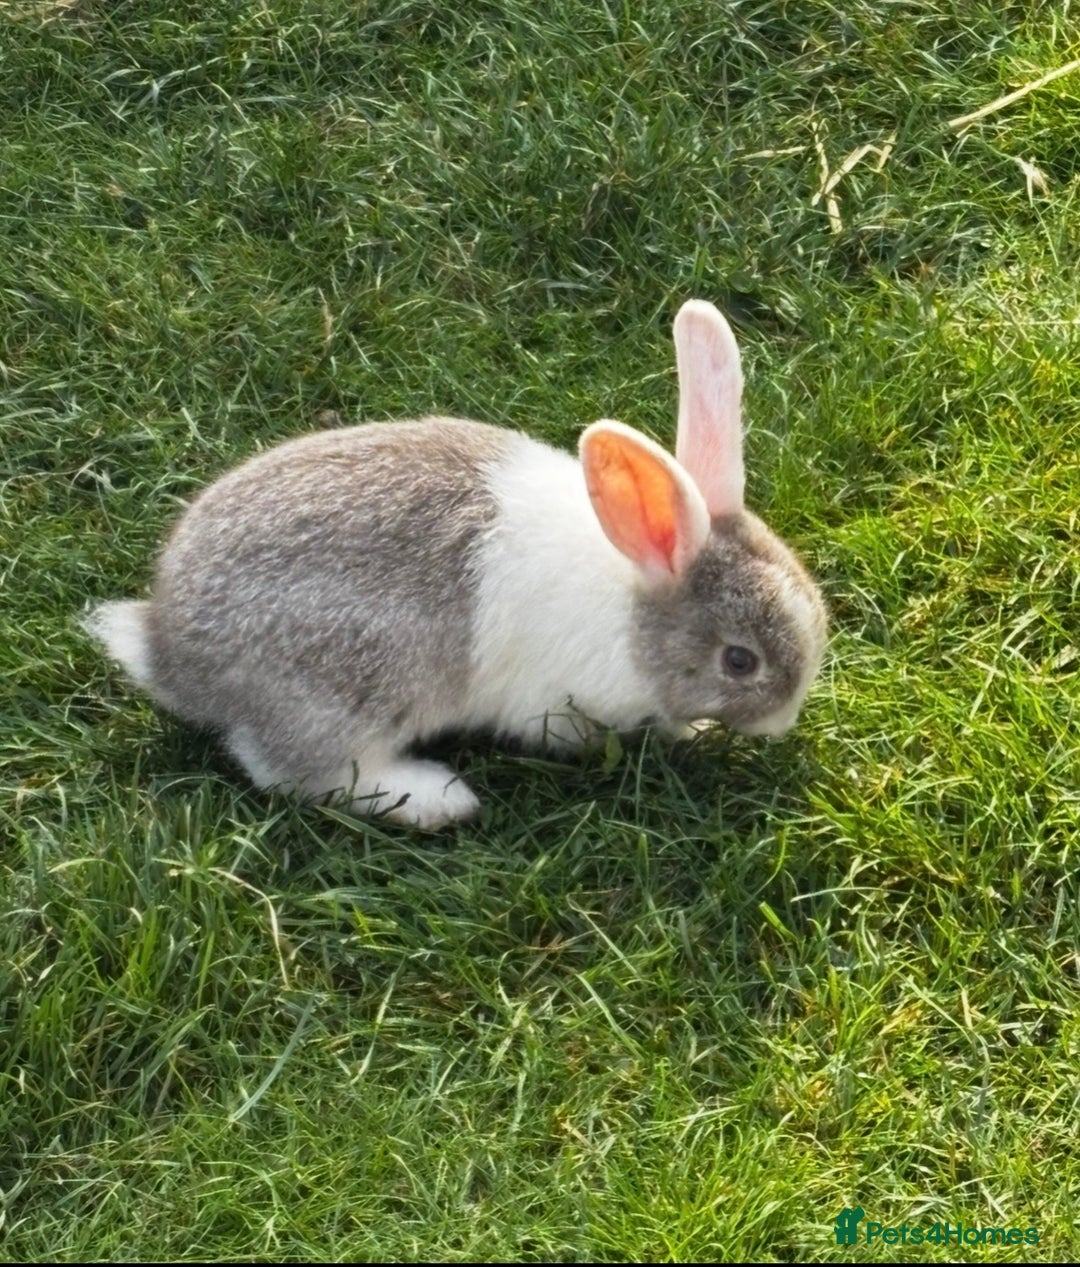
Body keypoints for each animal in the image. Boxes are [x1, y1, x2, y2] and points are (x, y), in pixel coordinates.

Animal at [84, 300, 828, 829]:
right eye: (740, 661)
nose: (784, 721)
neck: (636, 601)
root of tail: (167, 652)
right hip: (350, 687)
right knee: (295, 771)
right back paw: (436, 798)